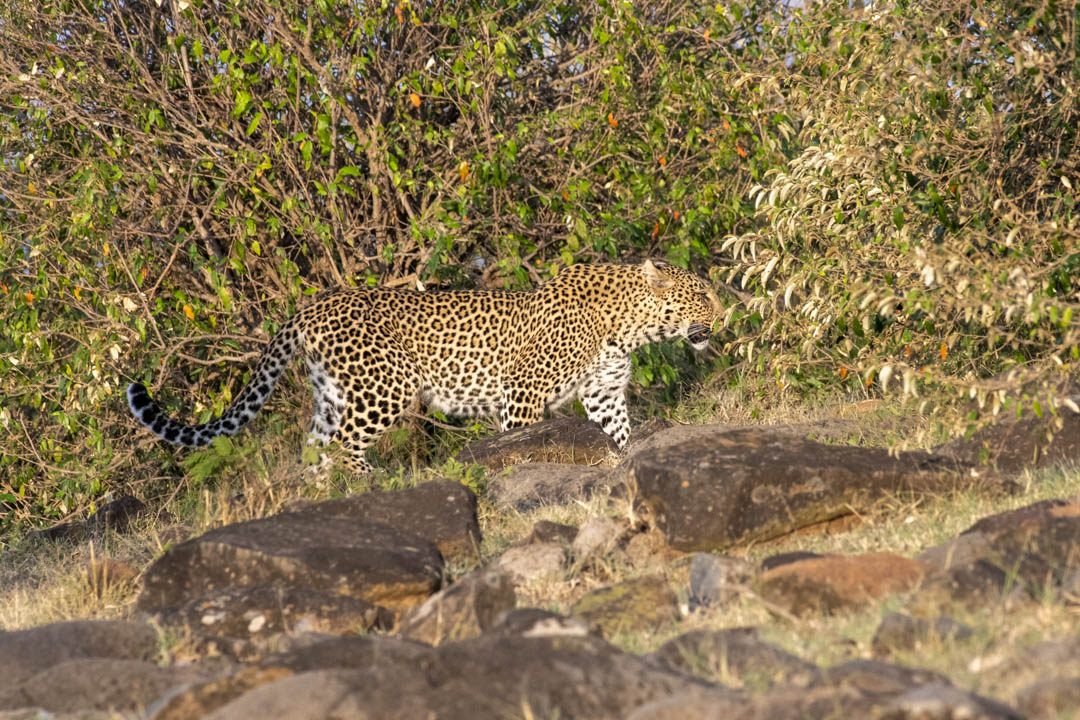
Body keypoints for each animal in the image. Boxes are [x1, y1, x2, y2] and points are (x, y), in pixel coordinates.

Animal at [127, 260, 722, 474]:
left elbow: (619, 433)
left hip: (333, 395)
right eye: (701, 296)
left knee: (315, 449)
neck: (627, 325)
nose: (724, 314)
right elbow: (523, 438)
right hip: (384, 389)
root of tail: (311, 306)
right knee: (344, 447)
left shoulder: (602, 392)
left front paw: (629, 457)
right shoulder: (524, 394)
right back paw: (372, 483)